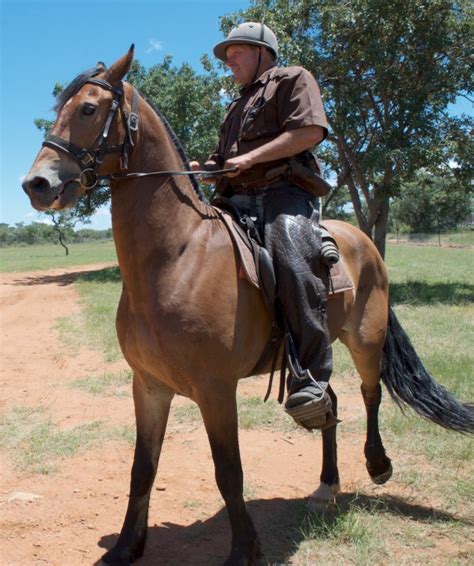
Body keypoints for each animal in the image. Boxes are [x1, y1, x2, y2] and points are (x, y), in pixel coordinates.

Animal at [23, 46, 474, 564]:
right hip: (316, 353)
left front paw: (244, 549)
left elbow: (229, 472)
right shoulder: (148, 387)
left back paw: (377, 464)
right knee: (330, 401)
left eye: (88, 109)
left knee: (370, 393)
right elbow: (142, 468)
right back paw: (326, 487)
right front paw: (125, 547)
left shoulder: (216, 390)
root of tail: (363, 241)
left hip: (365, 339)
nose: (36, 184)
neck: (178, 257)